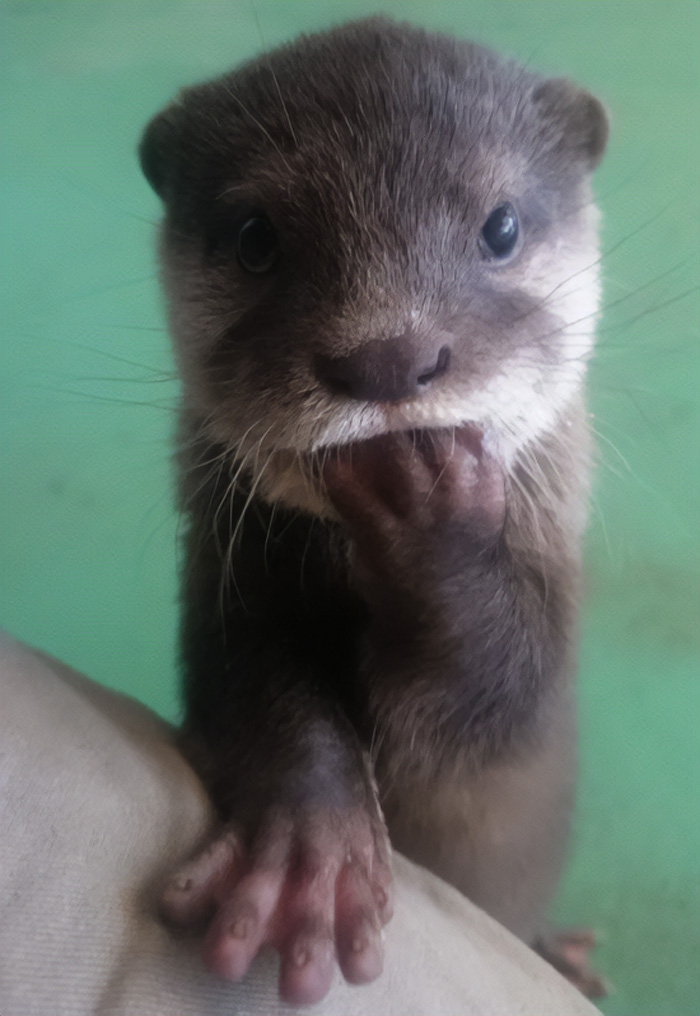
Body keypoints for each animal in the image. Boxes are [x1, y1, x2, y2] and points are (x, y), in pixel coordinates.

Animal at [139, 17, 608, 1005]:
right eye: (256, 237)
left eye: (501, 227)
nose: (388, 357)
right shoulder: (227, 579)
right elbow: (255, 690)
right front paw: (308, 853)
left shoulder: (538, 630)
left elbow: (487, 699)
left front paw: (437, 527)